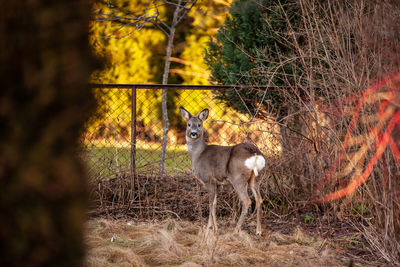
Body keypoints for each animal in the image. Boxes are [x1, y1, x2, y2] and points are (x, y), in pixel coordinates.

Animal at [179, 108, 266, 236]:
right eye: (189, 124)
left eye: (199, 125)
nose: (193, 133)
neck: (198, 155)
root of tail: (255, 154)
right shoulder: (218, 184)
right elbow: (214, 203)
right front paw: (212, 227)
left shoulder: (208, 179)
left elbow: (210, 203)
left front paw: (211, 228)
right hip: (255, 178)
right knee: (259, 199)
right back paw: (258, 231)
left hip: (238, 178)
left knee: (247, 201)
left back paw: (236, 230)